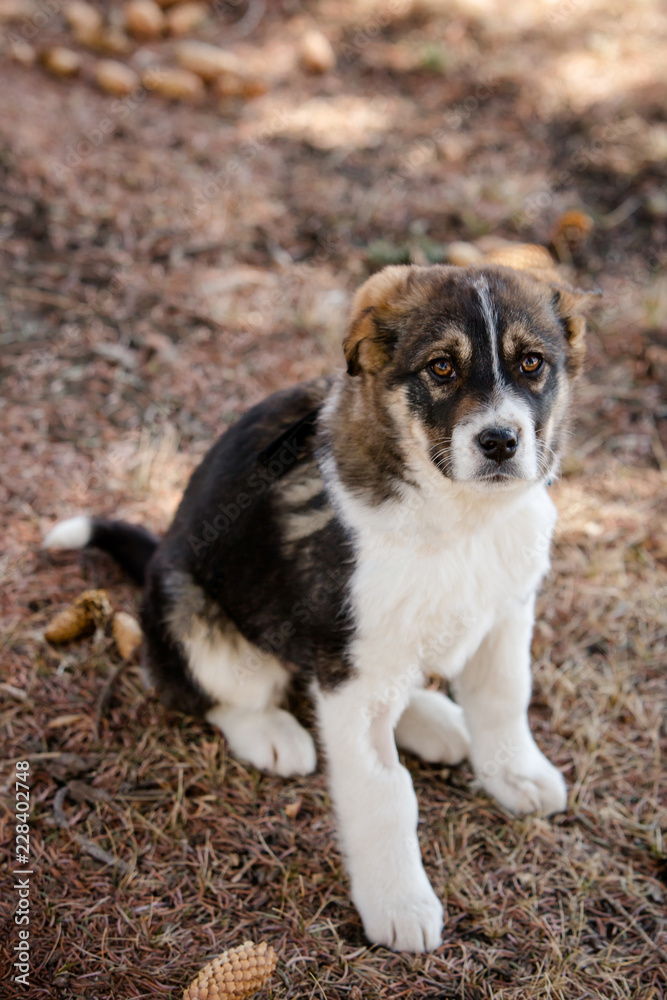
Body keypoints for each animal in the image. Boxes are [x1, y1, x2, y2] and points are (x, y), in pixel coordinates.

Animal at [44, 264, 592, 952]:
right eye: (441, 367)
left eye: (532, 363)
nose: (499, 441)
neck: (459, 514)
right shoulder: (349, 670)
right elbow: (385, 790)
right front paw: (399, 902)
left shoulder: (505, 615)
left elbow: (504, 701)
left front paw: (514, 774)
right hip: (190, 615)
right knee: (216, 691)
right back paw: (272, 734)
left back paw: (431, 718)